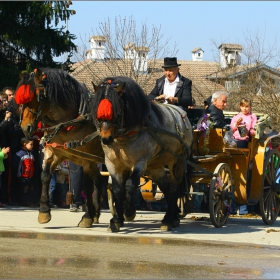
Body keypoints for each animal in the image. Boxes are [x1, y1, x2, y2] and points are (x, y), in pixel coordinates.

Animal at [12, 68, 104, 228]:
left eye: (39, 97)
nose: (25, 127)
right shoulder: (54, 152)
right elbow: (45, 176)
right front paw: (44, 212)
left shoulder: (86, 158)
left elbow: (86, 185)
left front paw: (87, 217)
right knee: (98, 180)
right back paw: (97, 213)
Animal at [93, 76, 194, 232]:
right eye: (98, 110)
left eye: (117, 110)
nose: (105, 139)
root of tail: (183, 116)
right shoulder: (112, 164)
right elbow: (117, 190)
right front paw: (116, 220)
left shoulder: (140, 162)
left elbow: (130, 185)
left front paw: (129, 212)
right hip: (156, 167)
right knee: (167, 190)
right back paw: (172, 217)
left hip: (178, 162)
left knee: (174, 188)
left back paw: (168, 220)